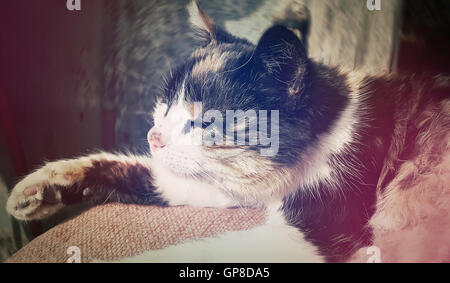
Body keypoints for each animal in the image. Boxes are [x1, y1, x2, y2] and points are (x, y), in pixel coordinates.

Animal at [4, 1, 450, 264]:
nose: (153, 137)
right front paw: (42, 186)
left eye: (206, 121)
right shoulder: (230, 185)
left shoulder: (319, 226)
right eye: (165, 103)